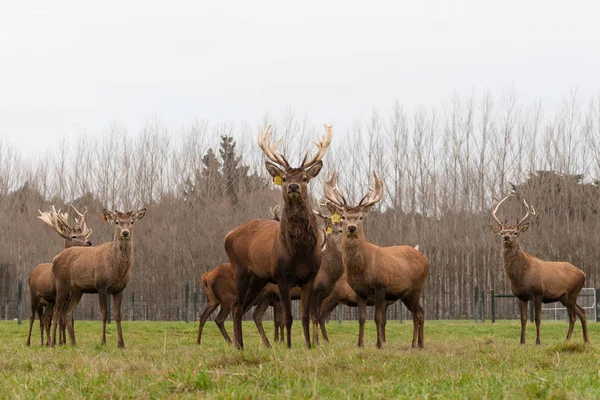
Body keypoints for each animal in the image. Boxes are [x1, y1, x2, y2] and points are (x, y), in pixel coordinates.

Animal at [25, 205, 92, 346]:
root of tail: (31, 273)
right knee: (33, 317)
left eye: (83, 235)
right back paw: (30, 342)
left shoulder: (66, 297)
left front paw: (62, 341)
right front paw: (58, 342)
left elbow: (66, 319)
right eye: (74, 236)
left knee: (45, 319)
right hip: (34, 295)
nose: (89, 242)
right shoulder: (58, 295)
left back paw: (48, 341)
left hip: (48, 301)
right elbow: (59, 318)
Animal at [49, 209, 146, 346]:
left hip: (77, 290)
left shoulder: (120, 289)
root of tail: (55, 259)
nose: (125, 232)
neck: (116, 268)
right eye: (117, 222)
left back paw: (73, 343)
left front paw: (121, 343)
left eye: (132, 221)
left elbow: (117, 315)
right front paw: (103, 342)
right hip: (62, 284)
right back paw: (52, 343)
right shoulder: (101, 285)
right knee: (56, 311)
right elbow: (104, 314)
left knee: (67, 312)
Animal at [225, 125, 330, 350]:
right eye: (284, 177)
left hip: (258, 278)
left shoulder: (310, 276)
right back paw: (239, 345)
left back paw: (240, 345)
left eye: (305, 178)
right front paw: (288, 347)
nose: (293, 187)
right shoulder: (282, 276)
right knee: (236, 306)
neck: (299, 253)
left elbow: (305, 317)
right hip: (240, 270)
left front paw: (308, 347)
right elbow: (288, 318)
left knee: (239, 306)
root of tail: (228, 235)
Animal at [326, 173, 428, 348]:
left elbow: (378, 319)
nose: (351, 228)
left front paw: (379, 344)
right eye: (344, 217)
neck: (362, 267)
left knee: (418, 314)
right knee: (420, 312)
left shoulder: (381, 286)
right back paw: (419, 344)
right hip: (405, 293)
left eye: (360, 217)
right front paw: (360, 344)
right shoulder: (359, 291)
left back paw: (415, 344)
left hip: (417, 286)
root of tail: (425, 258)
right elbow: (361, 319)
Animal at [490, 195, 588, 346]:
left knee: (573, 316)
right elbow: (523, 319)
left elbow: (537, 318)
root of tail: (583, 273)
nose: (507, 237)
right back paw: (586, 340)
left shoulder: (538, 293)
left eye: (516, 233)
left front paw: (538, 341)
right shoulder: (520, 296)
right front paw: (522, 341)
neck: (521, 275)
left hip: (572, 293)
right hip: (564, 297)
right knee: (582, 312)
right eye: (501, 232)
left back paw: (567, 340)